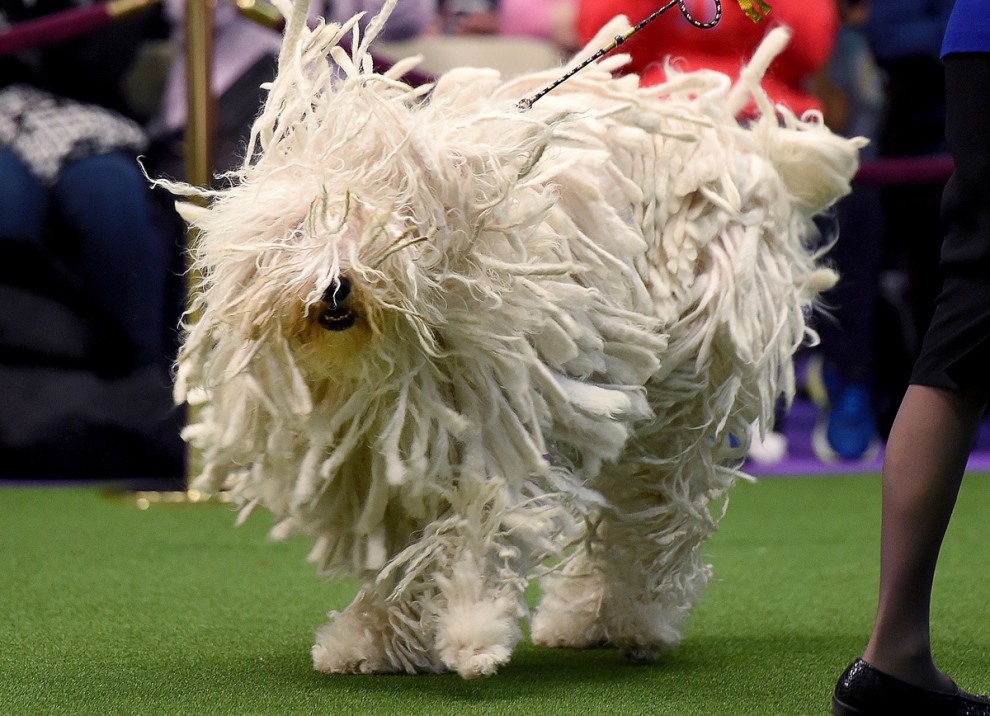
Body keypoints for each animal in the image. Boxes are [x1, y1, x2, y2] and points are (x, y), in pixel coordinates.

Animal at [167, 0, 864, 684]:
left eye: (386, 225)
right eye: (300, 227)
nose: (336, 287)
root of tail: (748, 154)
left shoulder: (493, 421)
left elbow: (482, 521)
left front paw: (472, 631)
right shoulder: (383, 456)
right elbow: (398, 551)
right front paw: (373, 637)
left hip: (689, 383)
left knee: (652, 512)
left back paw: (637, 620)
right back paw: (581, 618)